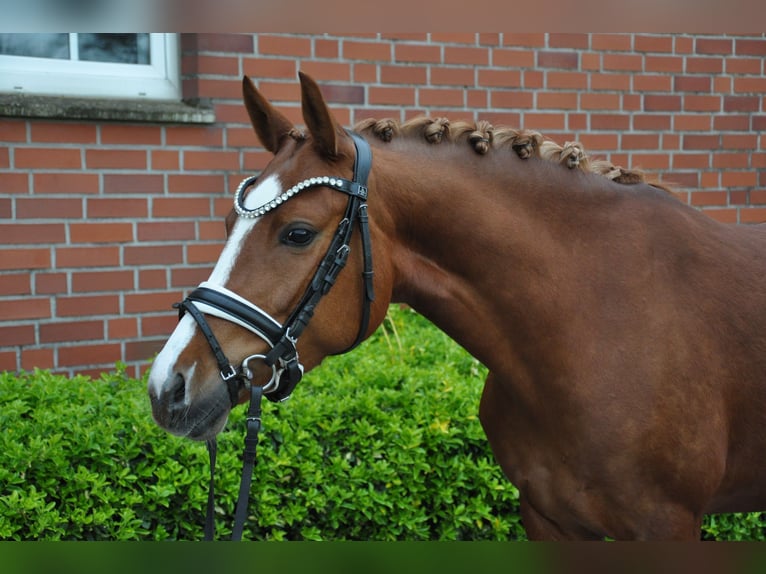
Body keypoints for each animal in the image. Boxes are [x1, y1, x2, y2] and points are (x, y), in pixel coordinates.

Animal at [150, 73, 766, 544]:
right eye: (228, 222)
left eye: (298, 233)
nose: (166, 389)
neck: (594, 328)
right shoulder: (549, 520)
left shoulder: (665, 528)